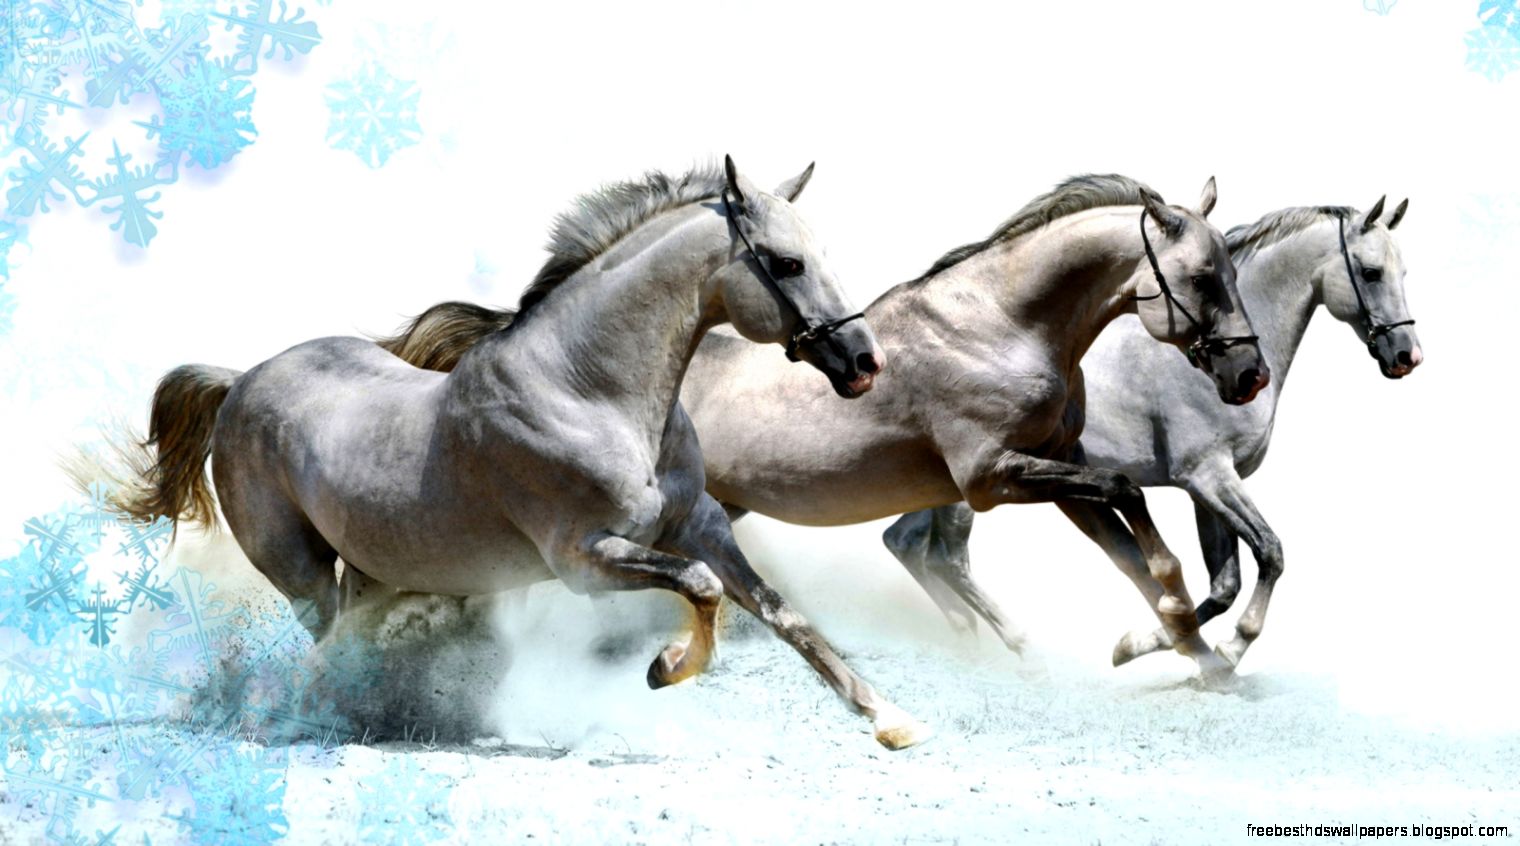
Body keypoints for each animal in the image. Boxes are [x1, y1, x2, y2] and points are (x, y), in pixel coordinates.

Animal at [95, 158, 937, 750]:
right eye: (786, 263)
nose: (865, 362)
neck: (590, 390)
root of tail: (241, 380)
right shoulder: (586, 559)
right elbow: (701, 590)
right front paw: (666, 669)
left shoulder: (700, 525)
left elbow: (784, 614)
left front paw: (892, 720)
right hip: (302, 573)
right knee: (324, 640)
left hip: (373, 570)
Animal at [375, 174, 1268, 677]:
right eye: (1201, 276)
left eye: (1230, 271)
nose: (1247, 375)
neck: (1004, 325)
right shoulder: (992, 477)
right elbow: (1130, 501)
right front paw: (1174, 633)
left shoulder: (1052, 468)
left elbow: (1135, 545)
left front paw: (1188, 653)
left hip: (706, 512)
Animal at [883, 197, 1421, 669]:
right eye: (1371, 272)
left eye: (1403, 273)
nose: (1406, 356)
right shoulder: (1208, 477)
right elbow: (1270, 553)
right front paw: (1224, 650)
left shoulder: (1208, 487)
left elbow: (1224, 584)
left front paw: (1147, 644)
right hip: (978, 489)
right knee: (948, 558)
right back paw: (1017, 646)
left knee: (905, 542)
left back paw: (967, 638)